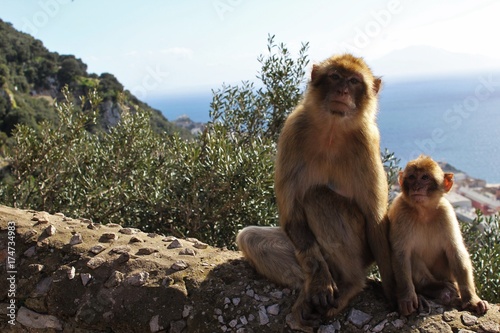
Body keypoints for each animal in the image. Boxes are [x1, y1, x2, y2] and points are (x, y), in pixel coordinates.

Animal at [236, 54, 392, 324]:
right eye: (335, 77)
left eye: (354, 81)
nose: (342, 90)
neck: (332, 129)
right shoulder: (293, 130)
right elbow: (291, 215)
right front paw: (318, 282)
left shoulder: (367, 141)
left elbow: (375, 218)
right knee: (251, 238)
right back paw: (308, 291)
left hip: (362, 251)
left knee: (318, 197)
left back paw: (351, 283)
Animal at [390, 154, 488, 316]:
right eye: (411, 177)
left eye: (424, 177)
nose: (416, 187)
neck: (423, 212)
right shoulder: (400, 211)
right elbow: (400, 254)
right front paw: (407, 297)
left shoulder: (446, 212)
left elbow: (455, 251)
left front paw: (471, 299)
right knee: (412, 256)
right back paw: (434, 288)